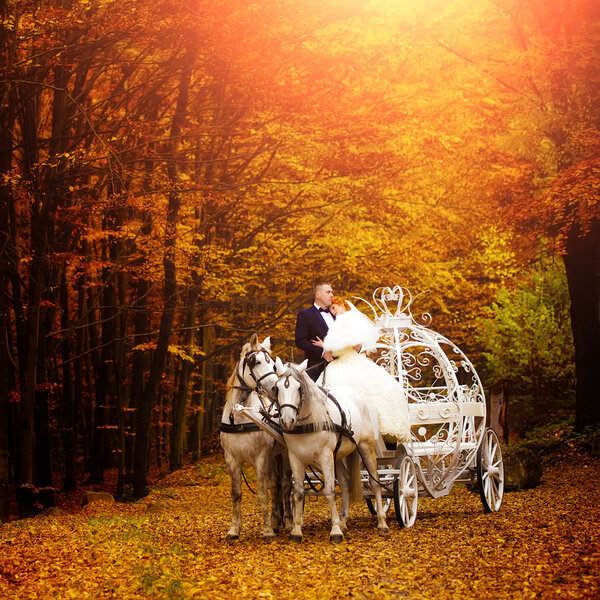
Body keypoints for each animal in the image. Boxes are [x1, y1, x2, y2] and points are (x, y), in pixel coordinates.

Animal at [220, 336, 292, 540]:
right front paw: (234, 530)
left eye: (272, 363)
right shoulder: (231, 459)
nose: (276, 388)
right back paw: (276, 522)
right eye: (255, 361)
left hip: (284, 453)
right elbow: (236, 494)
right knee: (275, 485)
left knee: (285, 484)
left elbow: (261, 492)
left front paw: (266, 531)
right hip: (274, 455)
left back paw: (289, 523)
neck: (239, 417)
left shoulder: (261, 458)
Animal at [274, 356, 390, 544]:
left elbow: (329, 491)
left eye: (299, 388)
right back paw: (344, 521)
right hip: (339, 457)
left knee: (375, 483)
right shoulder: (295, 458)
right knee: (345, 484)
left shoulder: (325, 457)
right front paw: (297, 530)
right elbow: (298, 493)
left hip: (366, 448)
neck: (309, 423)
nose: (287, 421)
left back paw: (382, 523)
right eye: (276, 388)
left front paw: (335, 530)